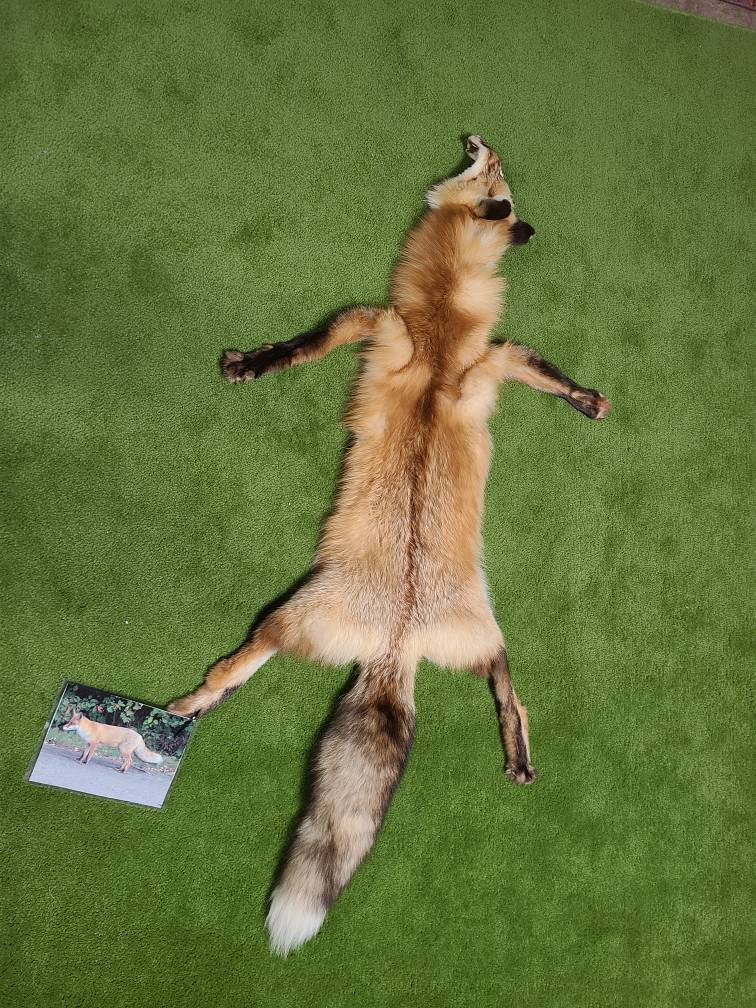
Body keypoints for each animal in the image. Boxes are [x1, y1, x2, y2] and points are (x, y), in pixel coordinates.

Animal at [169, 135, 611, 954]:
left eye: (494, 174)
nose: (481, 137)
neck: (439, 325)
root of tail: (399, 642)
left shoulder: (384, 325)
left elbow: (311, 340)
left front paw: (254, 363)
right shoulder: (485, 361)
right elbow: (538, 367)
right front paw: (590, 399)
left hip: (290, 614)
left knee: (237, 669)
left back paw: (186, 705)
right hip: (479, 633)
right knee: (509, 686)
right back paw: (518, 755)